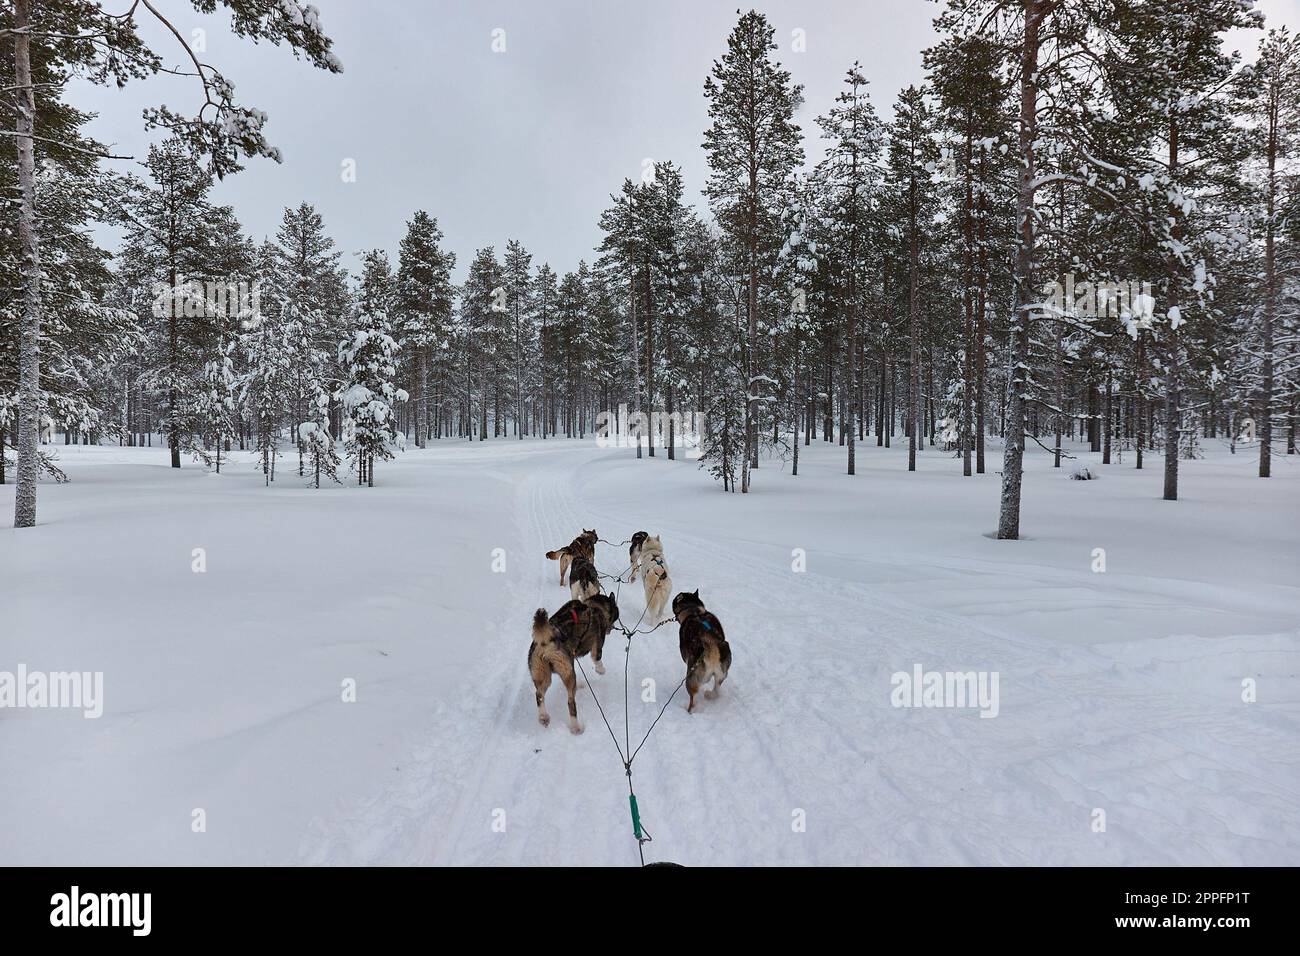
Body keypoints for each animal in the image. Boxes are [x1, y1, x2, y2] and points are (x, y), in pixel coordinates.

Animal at [533, 595, 624, 738]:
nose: (612, 628)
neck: (595, 606)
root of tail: (546, 640)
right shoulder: (597, 645)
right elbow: (597, 659)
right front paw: (601, 670)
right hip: (567, 674)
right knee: (570, 702)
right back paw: (576, 727)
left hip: (544, 676)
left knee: (539, 694)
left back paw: (543, 717)